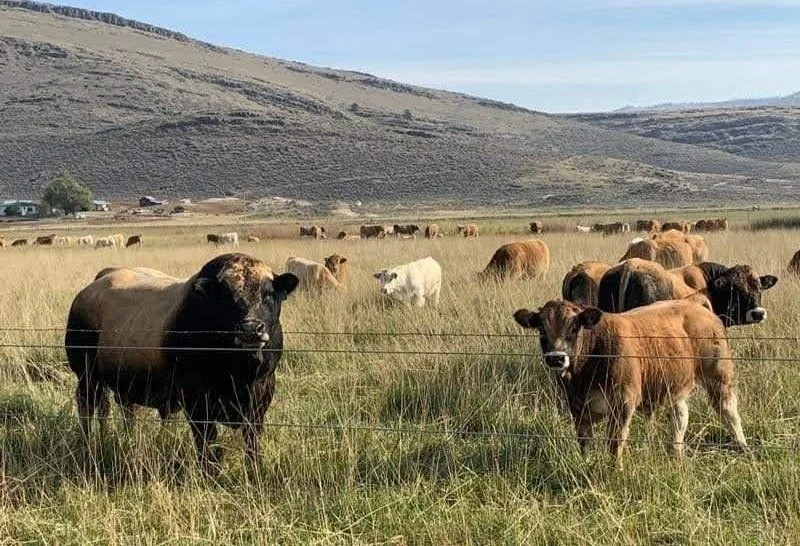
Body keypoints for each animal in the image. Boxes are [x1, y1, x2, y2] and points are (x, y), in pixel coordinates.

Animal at [65, 253, 299, 474]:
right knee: (88, 408)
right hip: (86, 376)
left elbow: (252, 440)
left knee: (122, 411)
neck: (241, 371)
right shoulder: (196, 400)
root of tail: (94, 286)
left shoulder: (261, 395)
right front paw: (211, 474)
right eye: (226, 297)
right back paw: (89, 443)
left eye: (268, 294)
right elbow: (207, 441)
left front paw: (254, 470)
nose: (251, 329)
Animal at [513, 299, 747, 466]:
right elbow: (585, 443)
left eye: (574, 327)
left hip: (719, 377)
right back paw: (676, 453)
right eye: (541, 330)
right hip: (675, 385)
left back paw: (742, 446)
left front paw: (616, 471)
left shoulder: (623, 404)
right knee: (680, 418)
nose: (556, 358)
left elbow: (614, 444)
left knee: (729, 412)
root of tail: (697, 305)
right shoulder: (578, 409)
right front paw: (586, 466)